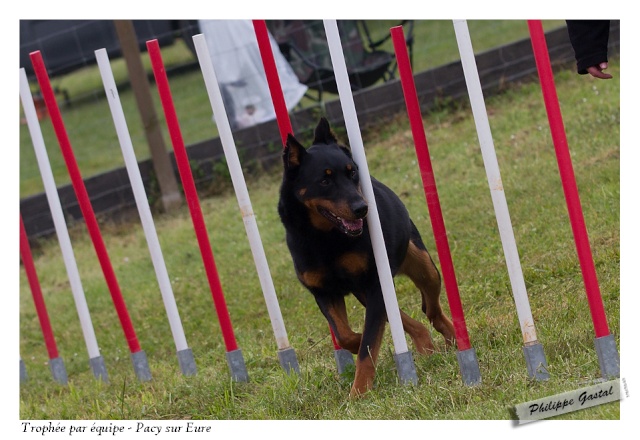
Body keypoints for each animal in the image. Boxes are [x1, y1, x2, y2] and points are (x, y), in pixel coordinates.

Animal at [278, 118, 456, 398]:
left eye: (352, 173)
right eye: (325, 180)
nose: (362, 208)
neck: (326, 238)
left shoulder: (375, 283)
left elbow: (368, 346)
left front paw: (359, 392)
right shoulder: (325, 292)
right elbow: (345, 335)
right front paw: (358, 344)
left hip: (423, 265)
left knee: (431, 307)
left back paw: (452, 339)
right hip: (365, 292)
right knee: (406, 318)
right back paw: (427, 347)